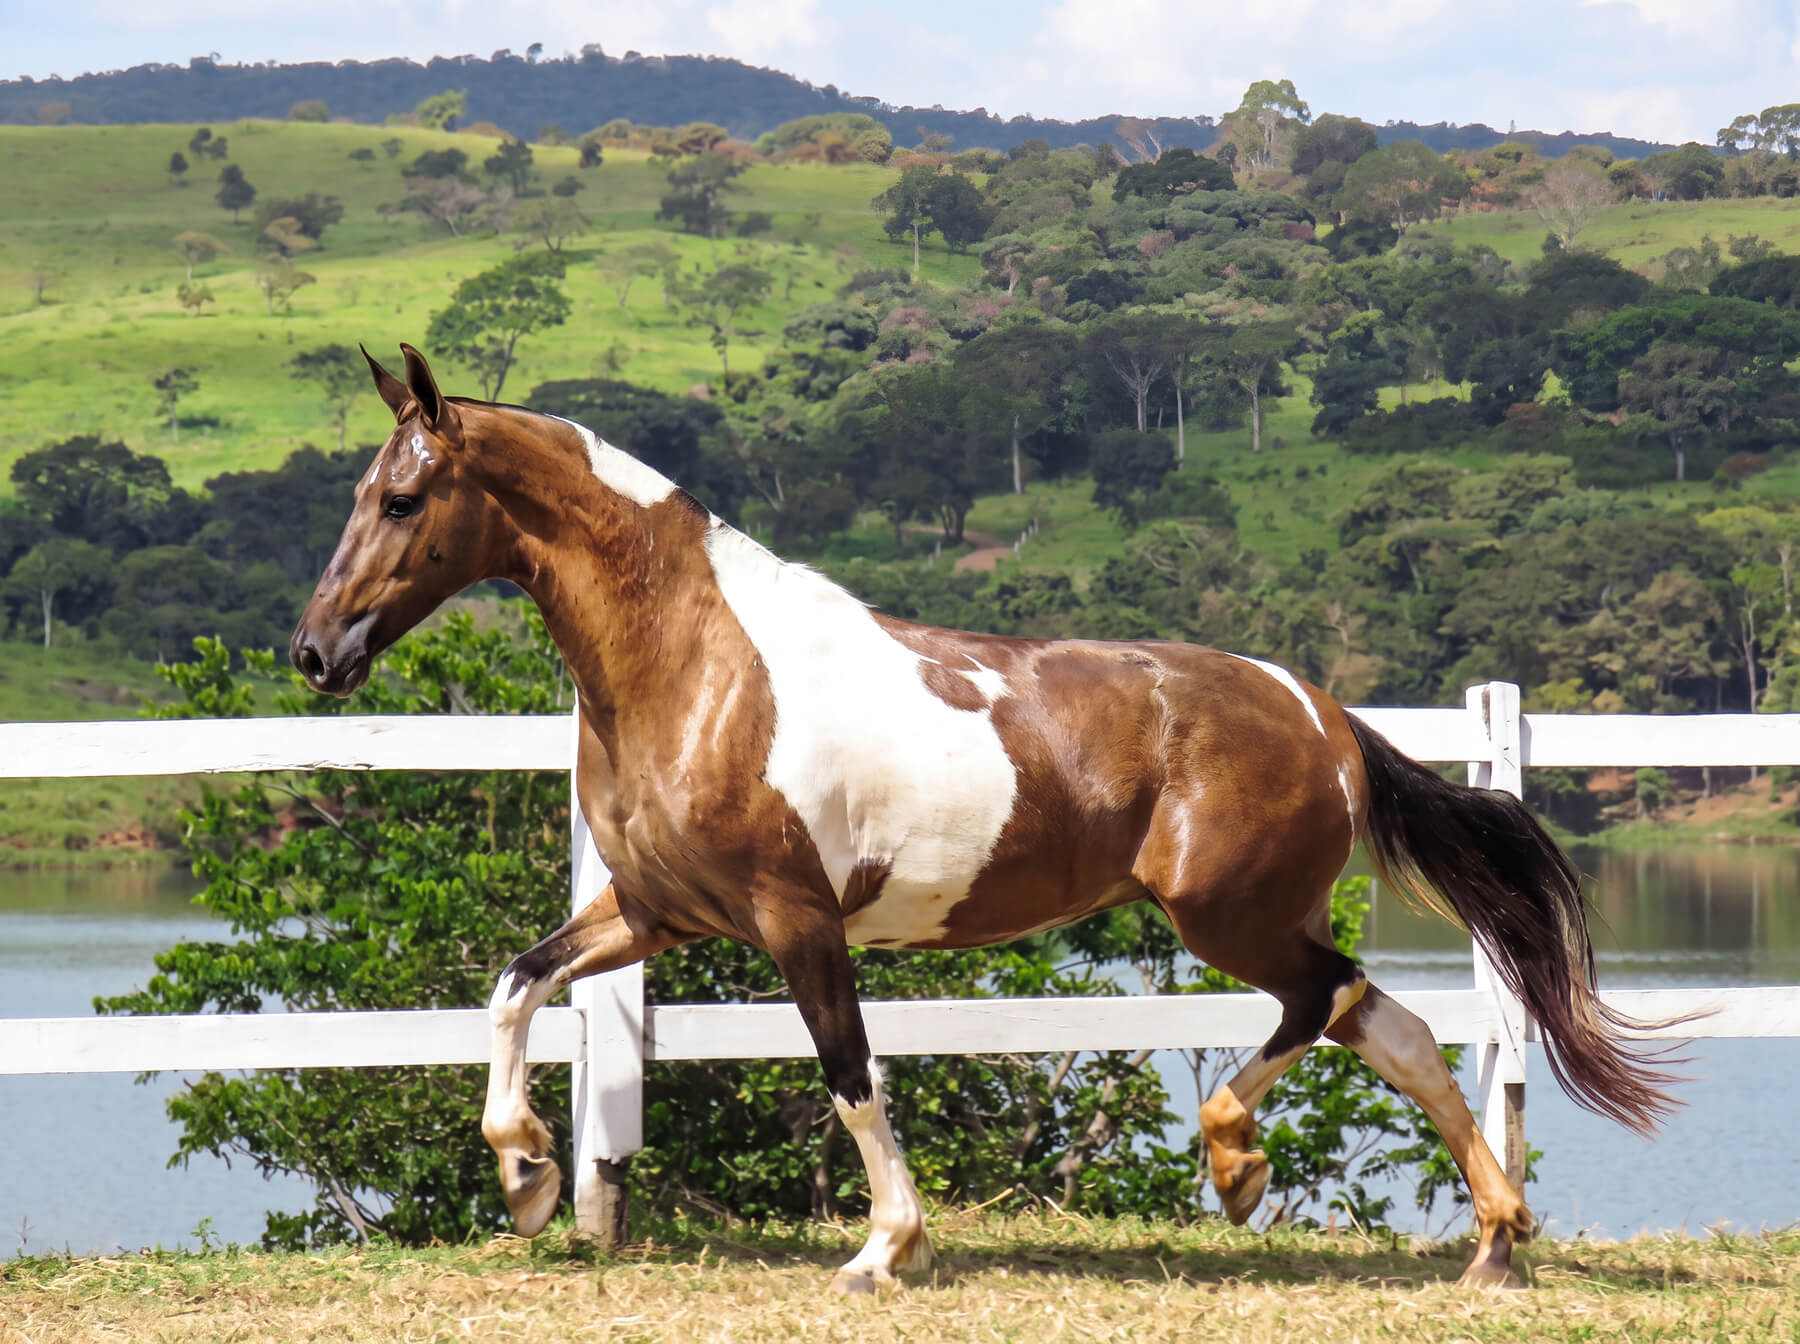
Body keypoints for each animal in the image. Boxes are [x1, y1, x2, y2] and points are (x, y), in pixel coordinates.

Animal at [290, 345, 1676, 1291]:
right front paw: (526, 1174)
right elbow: (516, 983)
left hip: (1229, 916)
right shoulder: (656, 912)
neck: (704, 668)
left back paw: (1239, 1162)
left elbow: (851, 1075)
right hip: (1244, 917)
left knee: (1331, 1000)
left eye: (404, 501)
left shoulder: (794, 922)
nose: (315, 653)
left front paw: (883, 1251)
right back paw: (1491, 1243)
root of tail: (1323, 714)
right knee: (1395, 1027)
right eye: (358, 493)